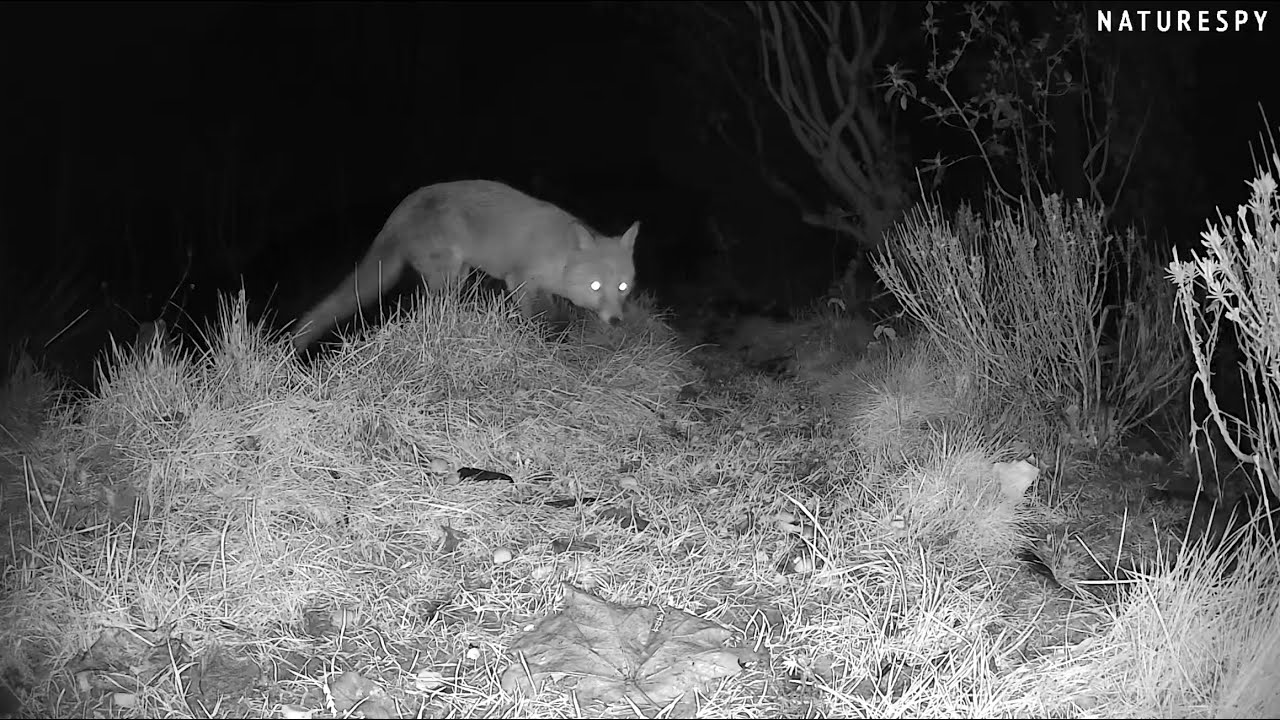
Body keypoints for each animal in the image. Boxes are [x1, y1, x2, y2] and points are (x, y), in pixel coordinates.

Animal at [291, 180, 639, 351]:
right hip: (447, 275)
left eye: (623, 287)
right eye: (596, 286)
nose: (616, 320)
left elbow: (553, 312)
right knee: (433, 307)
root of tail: (401, 208)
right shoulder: (520, 280)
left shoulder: (541, 286)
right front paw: (542, 339)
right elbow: (537, 316)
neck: (558, 257)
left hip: (460, 274)